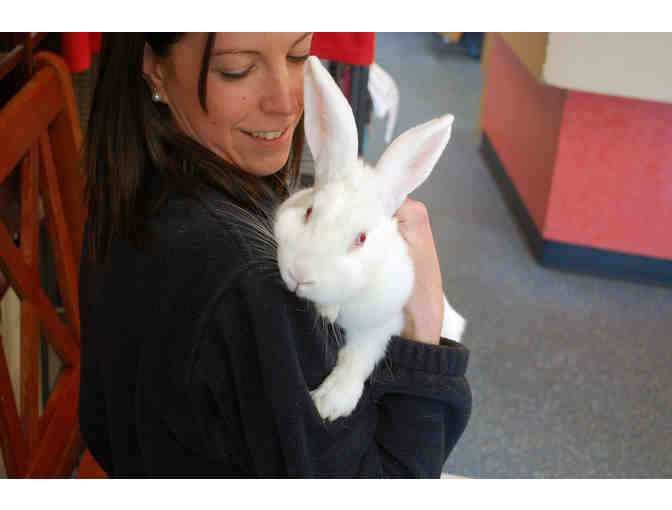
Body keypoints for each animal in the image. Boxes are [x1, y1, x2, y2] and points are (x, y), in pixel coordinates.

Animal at [273, 56, 466, 421]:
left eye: (361, 238)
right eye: (309, 211)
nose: (299, 276)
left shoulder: (383, 321)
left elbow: (359, 356)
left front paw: (329, 403)